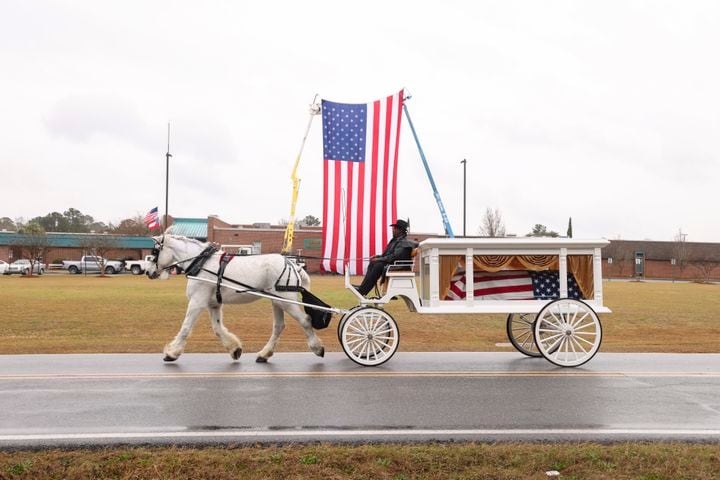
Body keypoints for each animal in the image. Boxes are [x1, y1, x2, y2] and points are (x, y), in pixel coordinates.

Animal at [145, 234, 324, 362]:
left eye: (154, 252)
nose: (148, 272)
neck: (201, 263)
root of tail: (294, 265)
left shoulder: (197, 301)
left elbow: (185, 327)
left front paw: (172, 353)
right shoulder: (213, 304)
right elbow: (217, 328)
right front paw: (234, 349)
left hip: (286, 301)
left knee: (305, 320)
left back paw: (317, 348)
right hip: (277, 302)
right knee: (278, 326)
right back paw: (264, 354)